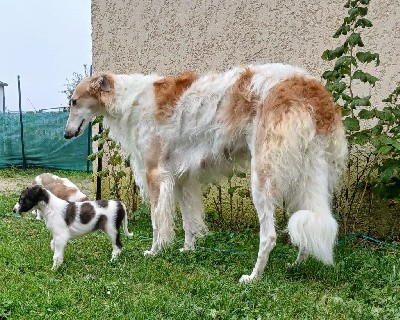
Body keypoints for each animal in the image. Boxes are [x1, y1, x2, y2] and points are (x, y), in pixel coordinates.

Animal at [64, 62, 348, 282]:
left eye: (73, 101)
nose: (66, 134)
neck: (129, 100)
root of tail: (309, 88)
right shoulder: (182, 179)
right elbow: (189, 223)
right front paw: (187, 250)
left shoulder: (156, 174)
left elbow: (157, 222)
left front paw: (155, 251)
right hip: (303, 175)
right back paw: (297, 263)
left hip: (264, 176)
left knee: (269, 236)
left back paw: (253, 276)